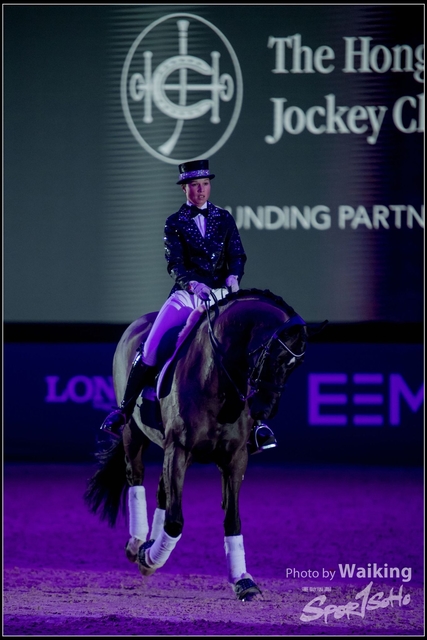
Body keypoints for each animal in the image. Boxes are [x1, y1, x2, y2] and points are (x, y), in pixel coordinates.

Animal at [85, 289, 309, 601]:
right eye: (273, 356)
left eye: (295, 365)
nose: (264, 410)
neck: (218, 380)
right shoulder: (179, 450)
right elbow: (175, 522)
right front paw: (149, 559)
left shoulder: (235, 458)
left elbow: (232, 519)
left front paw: (244, 582)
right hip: (133, 433)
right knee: (136, 478)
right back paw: (138, 545)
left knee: (162, 491)